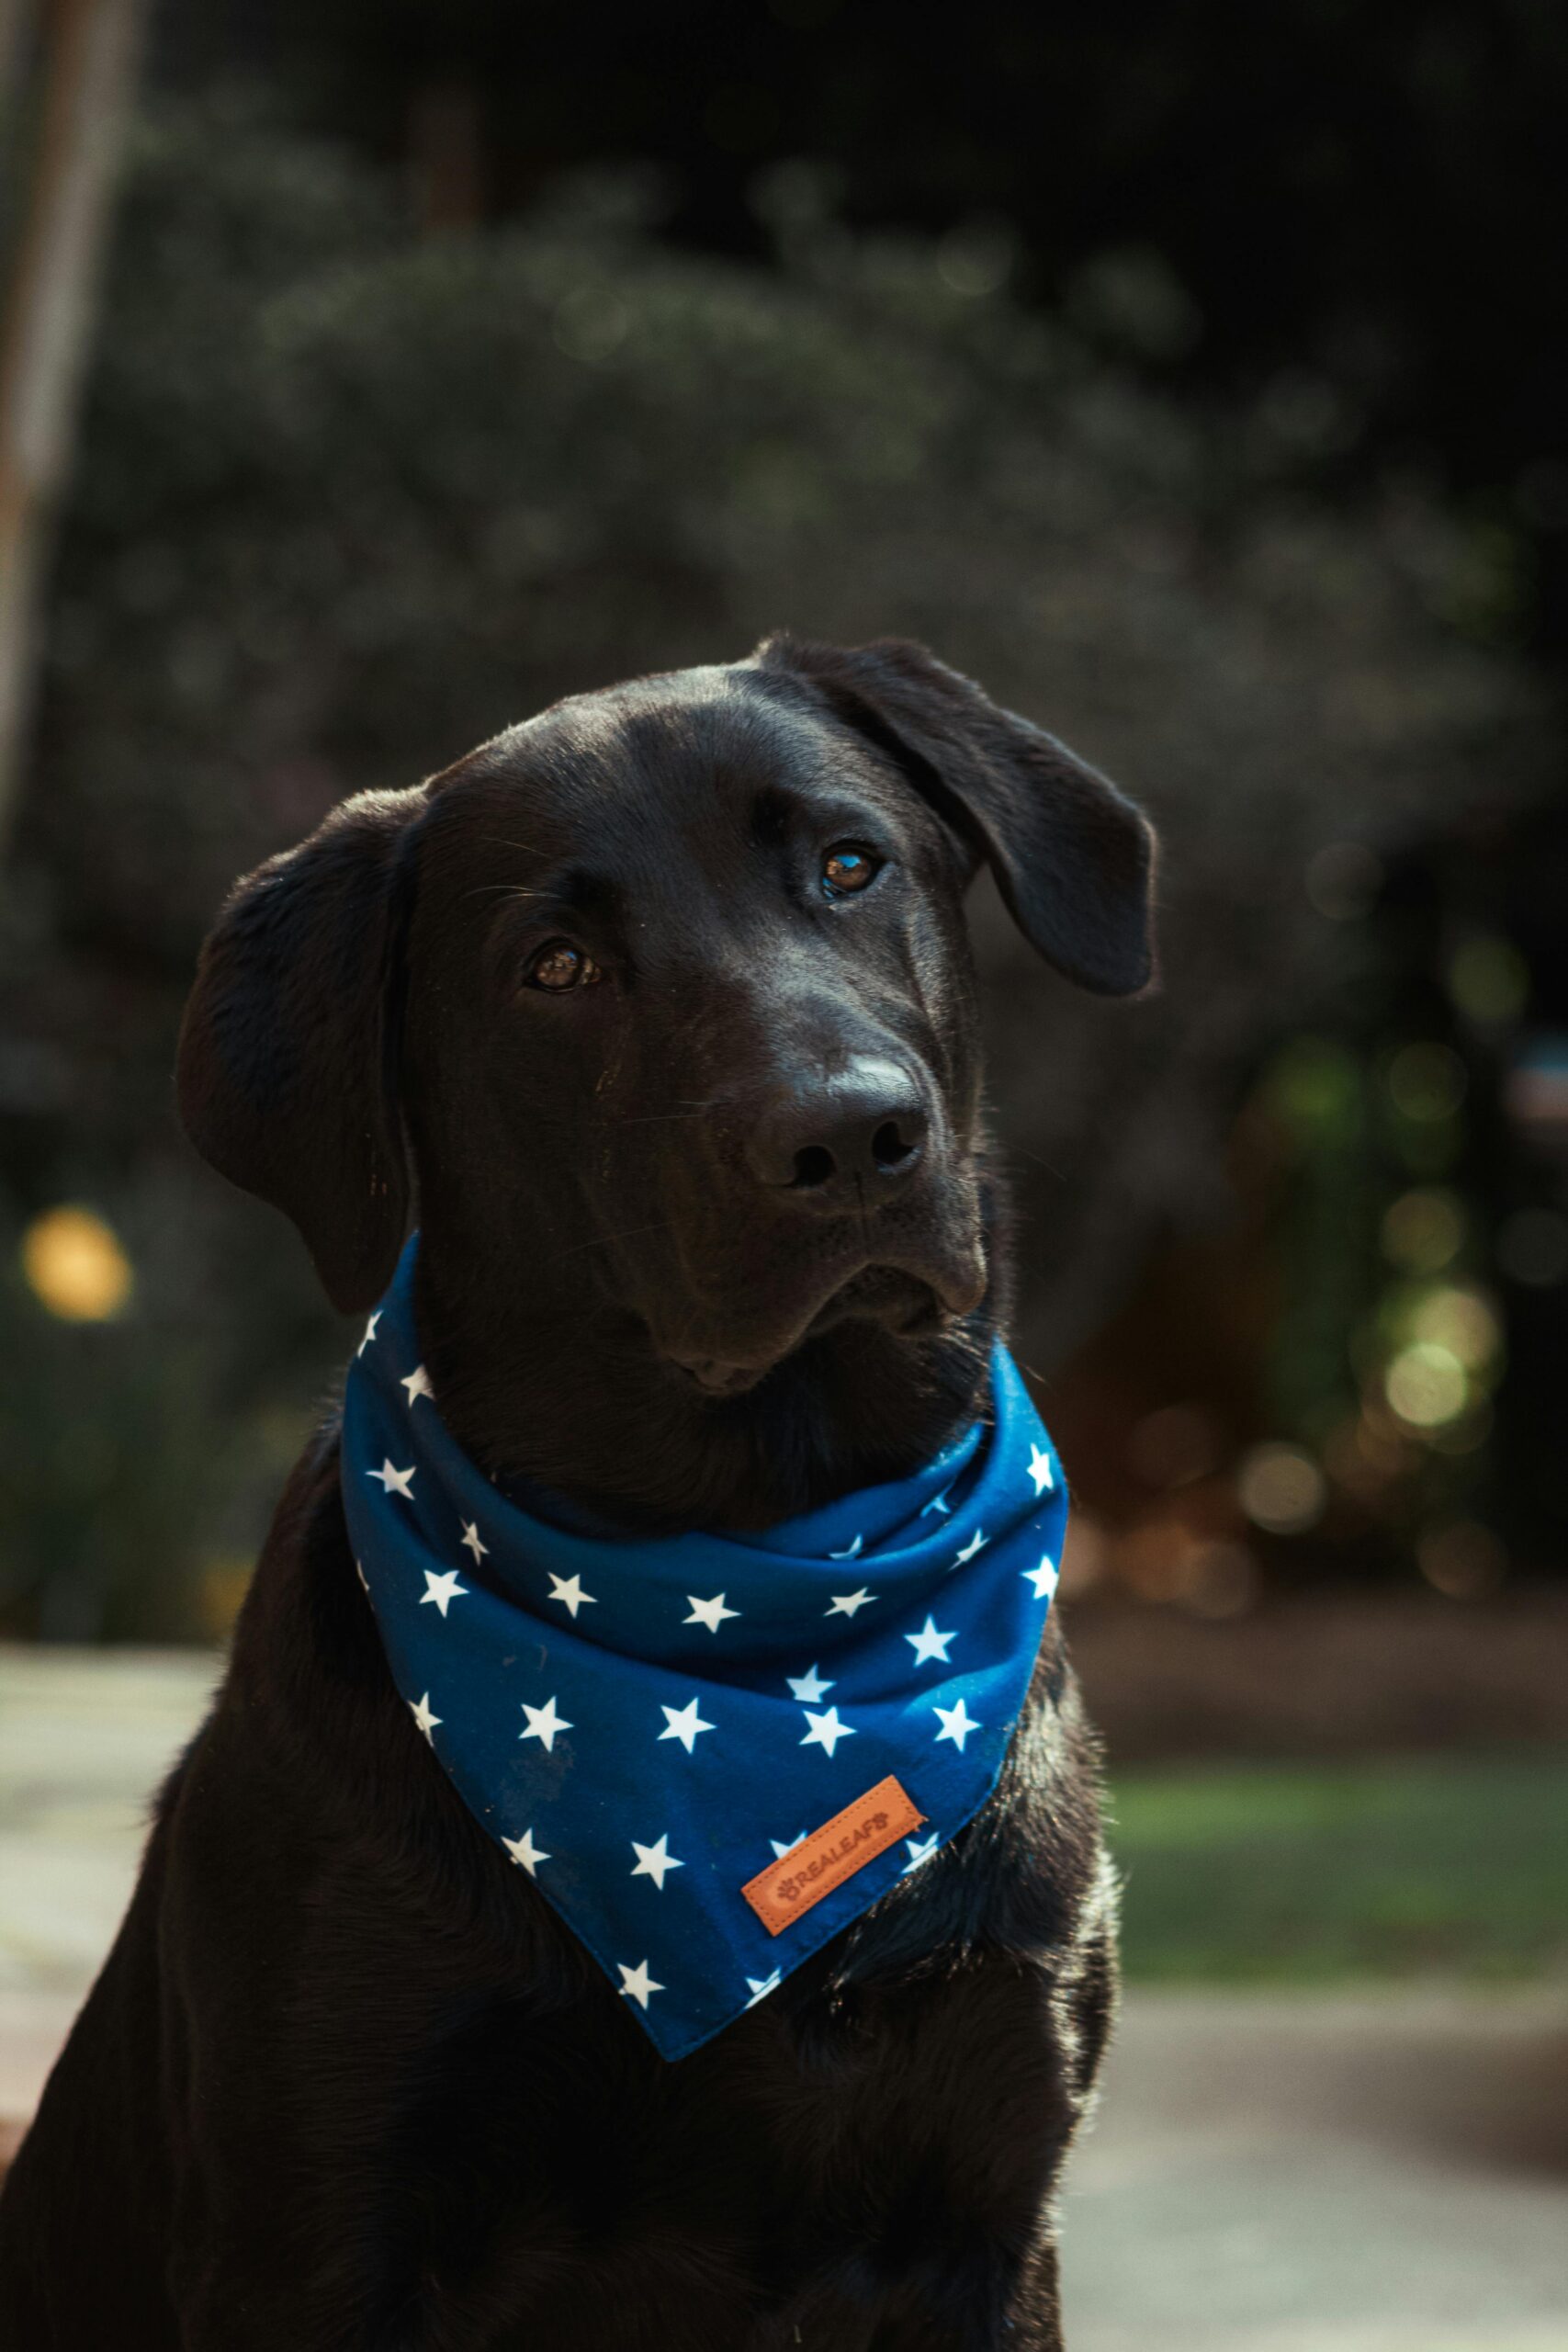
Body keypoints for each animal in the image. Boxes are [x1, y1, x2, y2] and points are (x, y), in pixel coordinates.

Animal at [0, 635, 1152, 2342]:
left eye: (849, 863)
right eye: (556, 969)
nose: (851, 1134)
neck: (756, 1570)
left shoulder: (989, 2217)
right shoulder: (316, 2230)